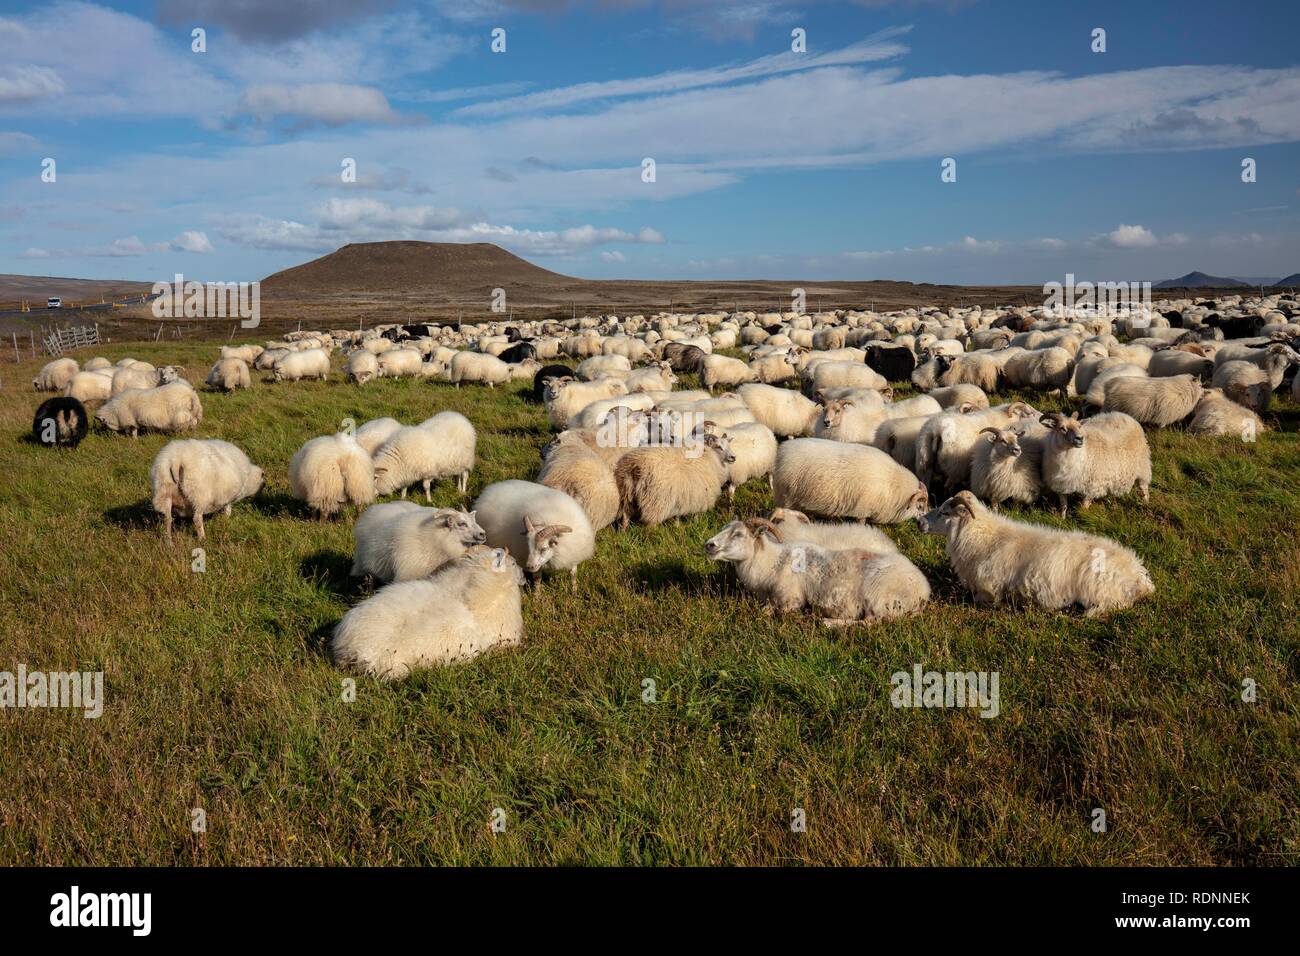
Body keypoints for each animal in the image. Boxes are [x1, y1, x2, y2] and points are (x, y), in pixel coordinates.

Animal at [704, 519, 929, 625]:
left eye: (738, 534)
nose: (709, 545)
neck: (771, 563)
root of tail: (923, 591)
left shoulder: (790, 600)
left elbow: (768, 612)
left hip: (879, 598)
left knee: (868, 623)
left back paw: (825, 622)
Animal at [772, 438, 929, 524]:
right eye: (920, 506)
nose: (926, 520)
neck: (892, 484)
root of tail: (782, 452)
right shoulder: (862, 509)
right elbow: (861, 523)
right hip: (786, 497)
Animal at [919, 491, 1154, 617]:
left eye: (944, 512)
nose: (919, 522)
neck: (982, 538)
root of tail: (1140, 578)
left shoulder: (989, 589)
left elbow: (983, 599)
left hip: (1099, 591)